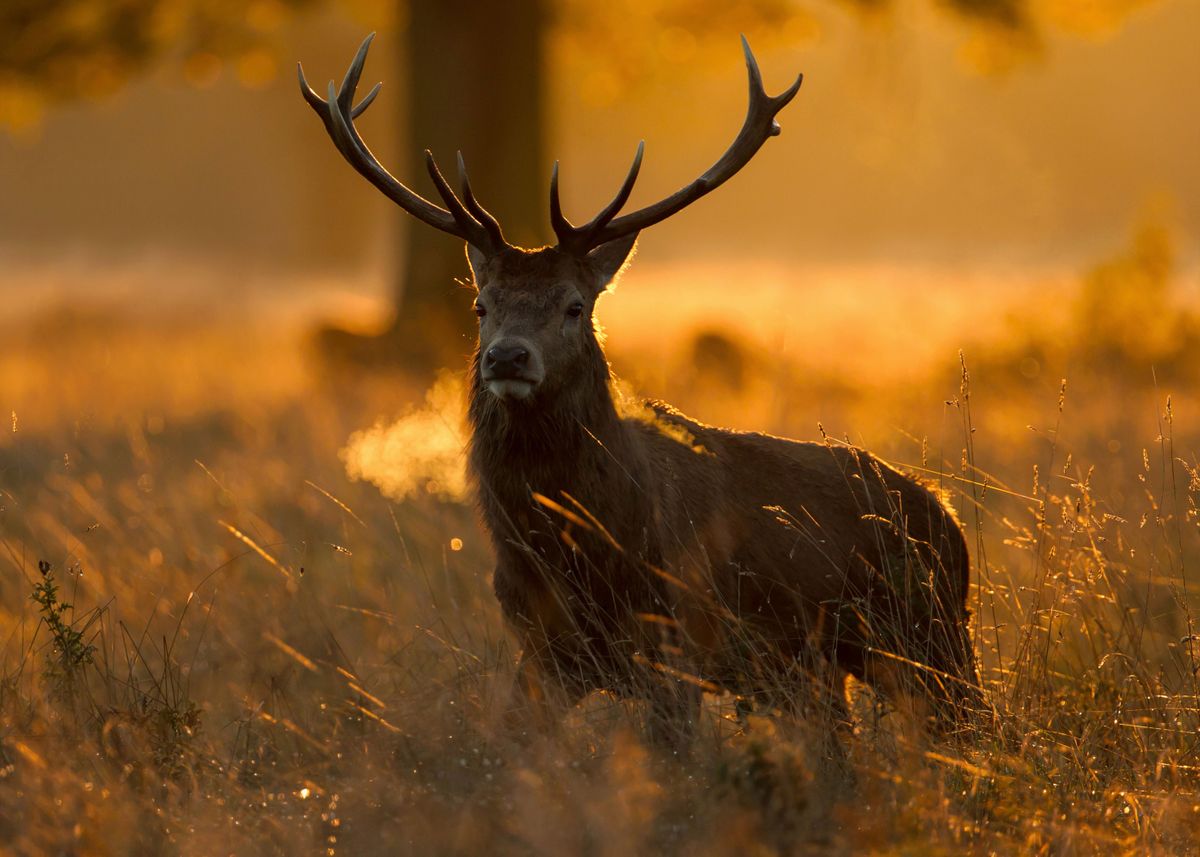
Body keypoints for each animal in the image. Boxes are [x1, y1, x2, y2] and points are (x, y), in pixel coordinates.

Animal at [300, 34, 981, 750]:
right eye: (482, 306)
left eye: (574, 305)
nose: (507, 357)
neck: (579, 550)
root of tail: (949, 517)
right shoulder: (542, 648)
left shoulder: (675, 642)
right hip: (822, 668)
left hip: (933, 639)